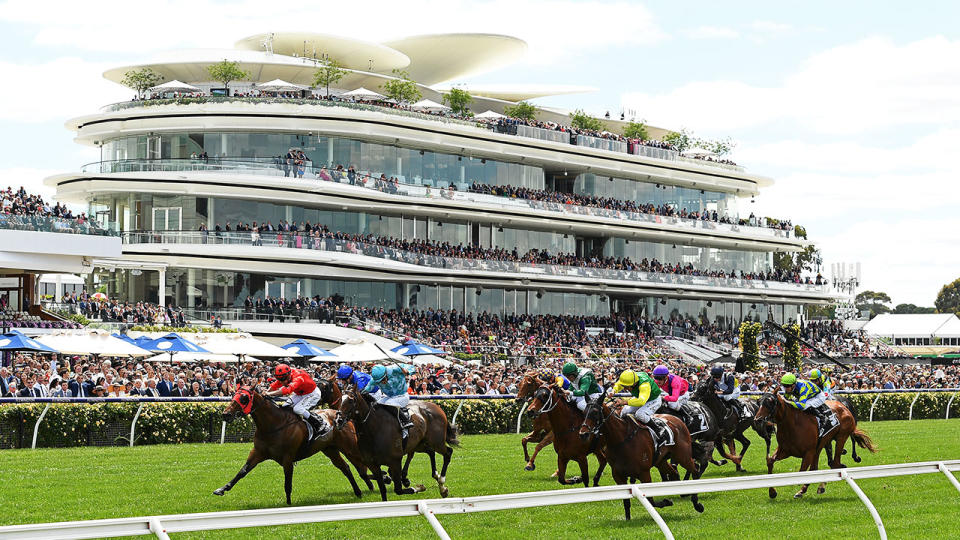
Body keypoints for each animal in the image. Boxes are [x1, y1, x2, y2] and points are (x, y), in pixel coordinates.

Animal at [214, 386, 376, 504]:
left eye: (244, 398)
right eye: (233, 395)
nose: (226, 414)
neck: (273, 425)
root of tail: (341, 415)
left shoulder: (288, 457)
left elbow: (288, 482)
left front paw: (288, 504)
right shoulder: (258, 452)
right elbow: (242, 471)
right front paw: (222, 489)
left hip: (349, 447)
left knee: (361, 464)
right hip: (330, 450)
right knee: (346, 468)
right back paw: (359, 491)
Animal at [576, 396, 704, 520]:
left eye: (595, 412)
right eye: (584, 412)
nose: (583, 434)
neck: (621, 439)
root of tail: (679, 420)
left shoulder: (644, 473)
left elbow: (650, 500)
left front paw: (666, 501)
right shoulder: (618, 475)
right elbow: (626, 501)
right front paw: (628, 519)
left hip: (682, 456)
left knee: (695, 469)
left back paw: (697, 503)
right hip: (661, 462)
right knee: (675, 473)